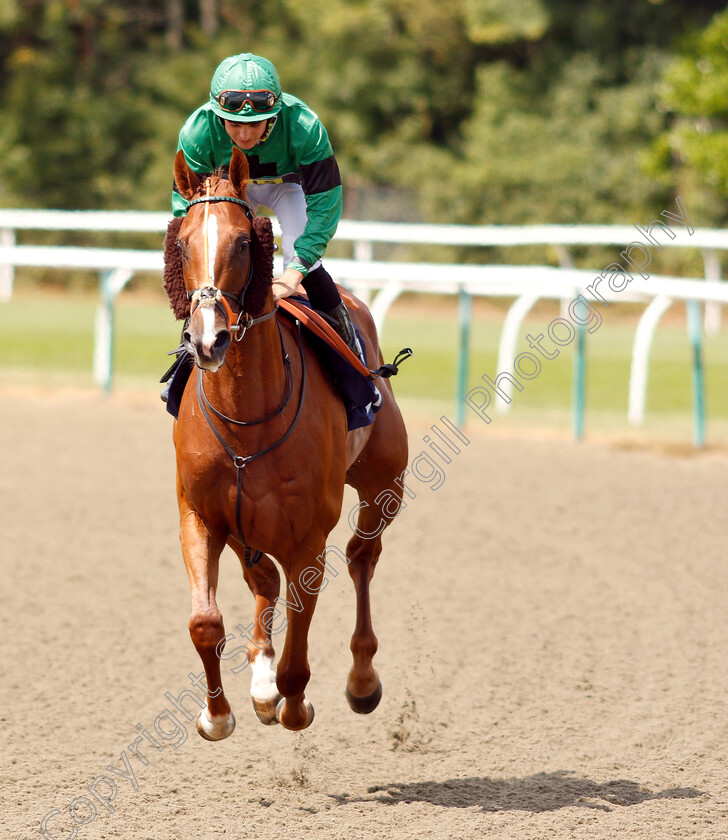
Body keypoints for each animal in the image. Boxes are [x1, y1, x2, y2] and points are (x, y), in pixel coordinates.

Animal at [171, 149, 410, 736]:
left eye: (242, 242)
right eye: (182, 242)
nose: (207, 340)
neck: (247, 416)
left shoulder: (308, 538)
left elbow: (300, 647)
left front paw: (295, 703)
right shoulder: (201, 515)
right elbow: (205, 623)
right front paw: (218, 715)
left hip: (385, 484)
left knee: (362, 556)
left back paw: (361, 680)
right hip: (246, 523)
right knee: (263, 581)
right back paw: (259, 682)